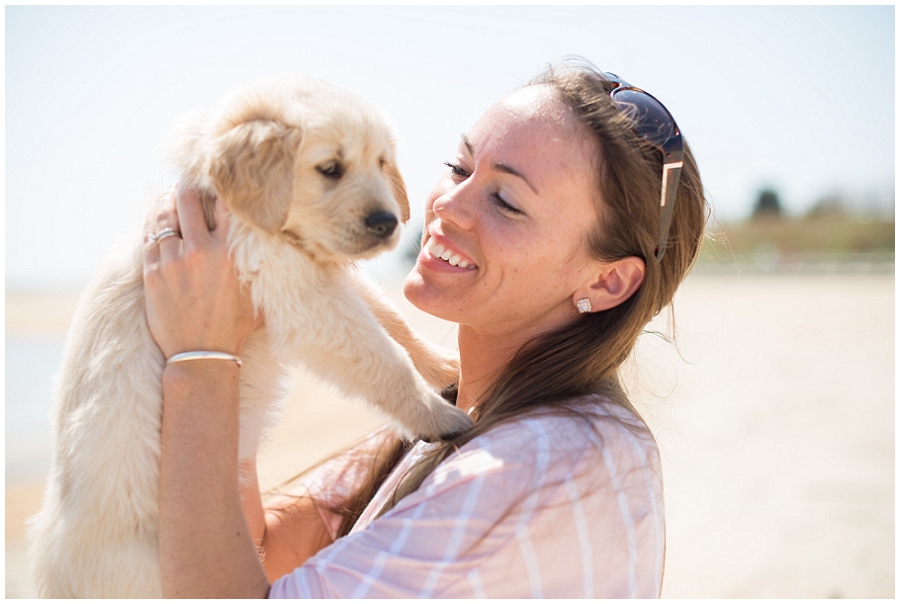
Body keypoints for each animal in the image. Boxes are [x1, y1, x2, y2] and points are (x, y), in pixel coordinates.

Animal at [26, 76, 472, 600]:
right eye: (330, 168)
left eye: (381, 162)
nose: (387, 223)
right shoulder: (300, 294)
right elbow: (382, 356)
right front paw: (436, 415)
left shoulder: (317, 275)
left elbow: (393, 323)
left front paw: (446, 366)